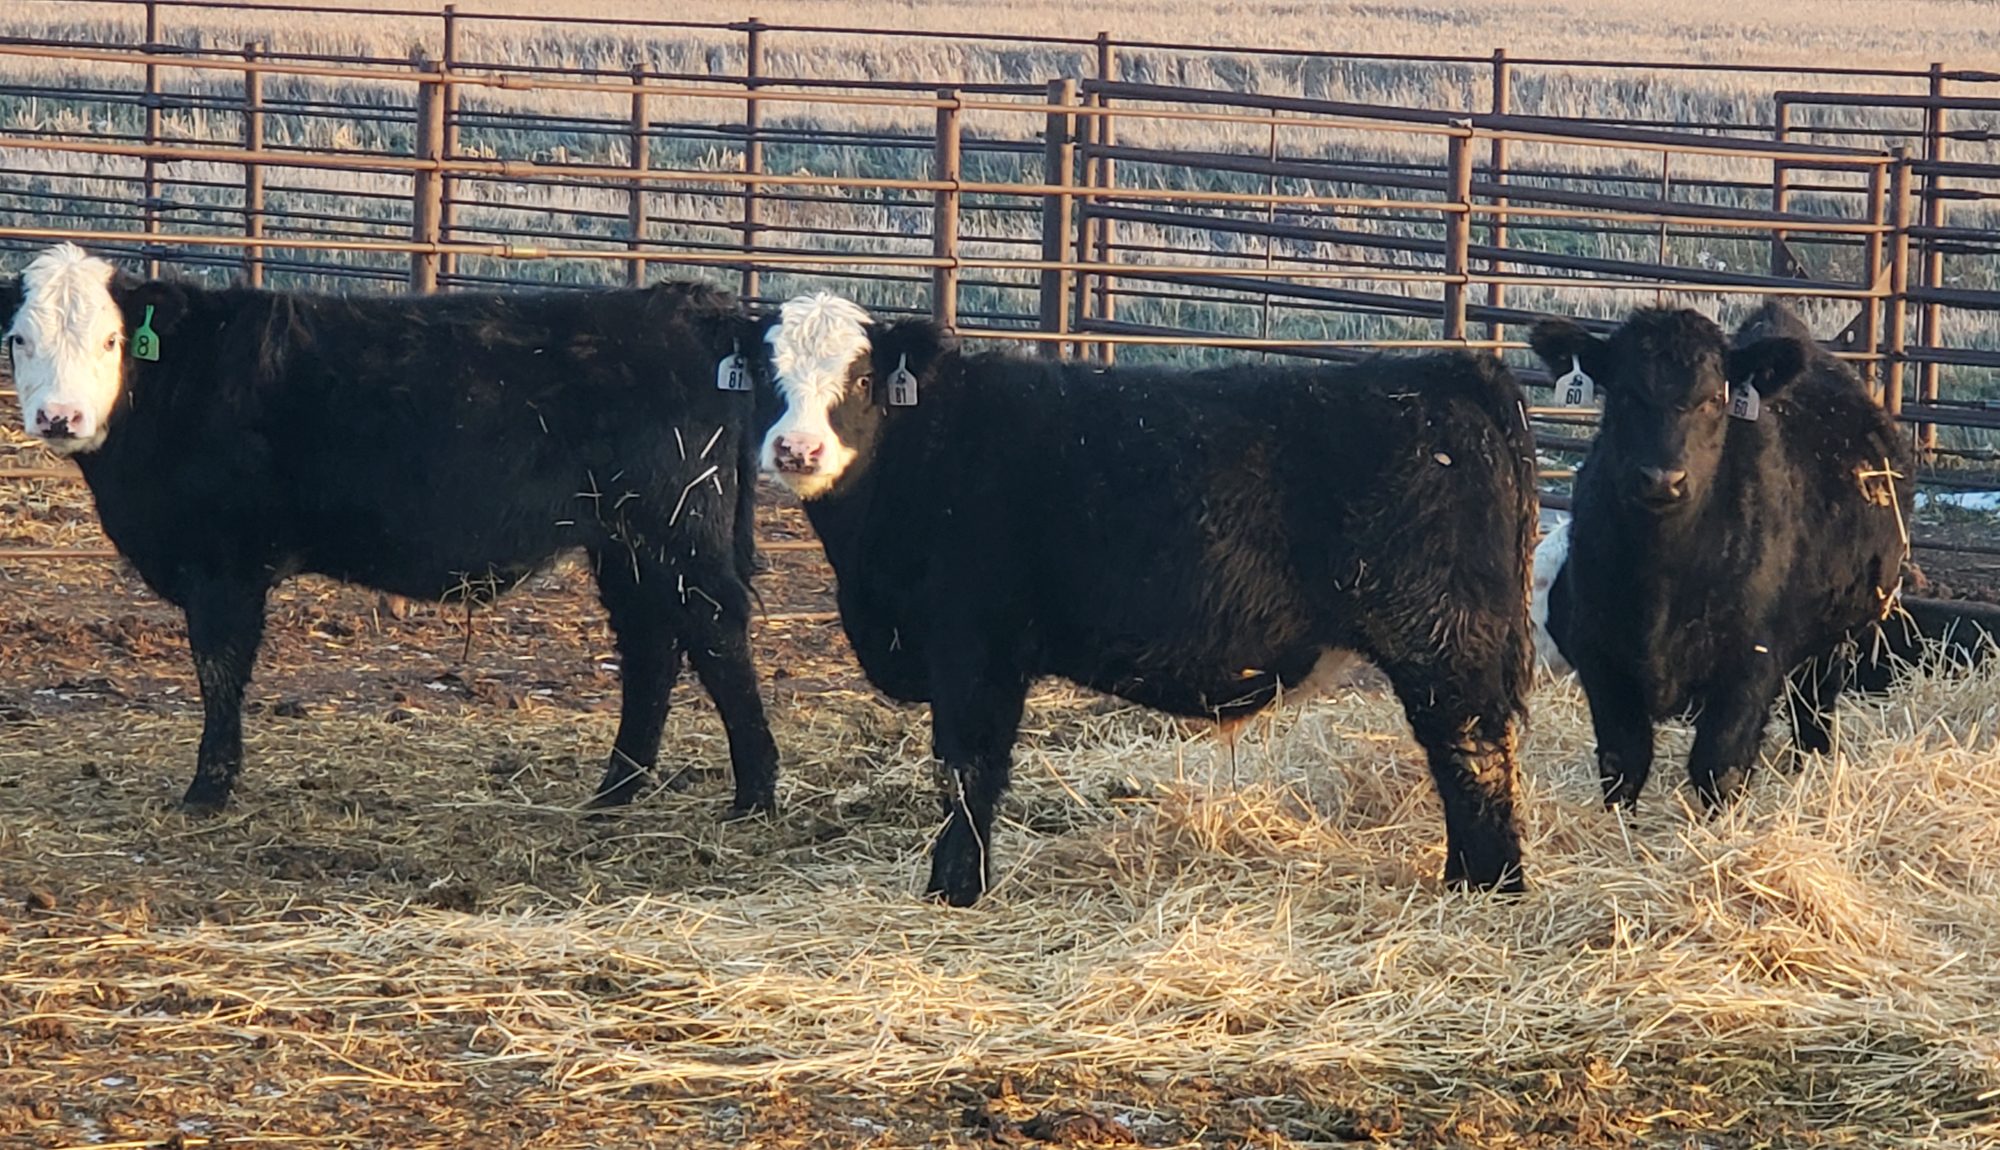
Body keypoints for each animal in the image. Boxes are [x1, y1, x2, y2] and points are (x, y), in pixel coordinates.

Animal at [2, 243, 779, 818]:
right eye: (19, 338)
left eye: (111, 338)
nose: (60, 417)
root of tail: (692, 304)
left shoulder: (224, 566)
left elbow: (219, 672)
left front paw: (207, 792)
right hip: (626, 546)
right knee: (652, 649)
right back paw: (613, 795)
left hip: (676, 533)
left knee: (716, 636)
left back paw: (754, 795)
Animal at [754, 291, 1540, 906]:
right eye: (766, 376)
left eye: (861, 379)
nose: (796, 449)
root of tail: (1445, 370)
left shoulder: (972, 650)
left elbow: (968, 769)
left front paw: (954, 891)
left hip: (1443, 639)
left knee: (1473, 753)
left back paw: (1487, 889)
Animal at [1529, 301, 1913, 809]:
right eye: (1625, 394)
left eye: (1713, 399)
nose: (1663, 478)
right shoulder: (1601, 657)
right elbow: (1622, 765)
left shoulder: (1751, 662)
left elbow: (1720, 768)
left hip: (1835, 640)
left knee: (1813, 712)